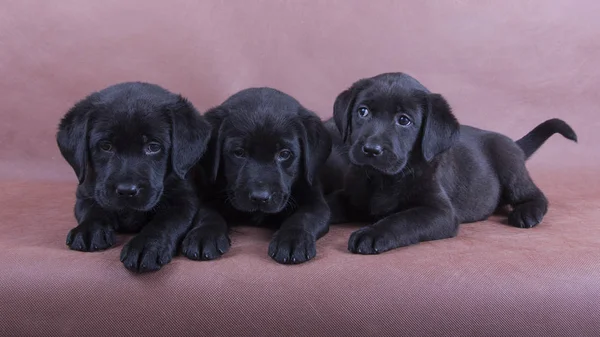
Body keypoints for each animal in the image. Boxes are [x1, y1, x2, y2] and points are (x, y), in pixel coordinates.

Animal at [56, 80, 211, 270]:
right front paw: (89, 230)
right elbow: (91, 209)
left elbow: (165, 222)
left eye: (153, 147)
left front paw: (147, 246)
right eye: (106, 146)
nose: (126, 191)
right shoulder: (85, 191)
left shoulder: (184, 199)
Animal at [182, 88, 332, 264]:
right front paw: (204, 235)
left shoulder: (316, 201)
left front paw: (293, 240)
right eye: (239, 152)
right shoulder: (209, 194)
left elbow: (304, 217)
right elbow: (207, 212)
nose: (260, 197)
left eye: (284, 154)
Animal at [326, 72, 580, 253]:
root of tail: (514, 143)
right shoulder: (352, 196)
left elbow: (401, 219)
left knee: (535, 194)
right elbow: (330, 202)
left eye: (404, 120)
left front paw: (372, 233)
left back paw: (527, 212)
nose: (371, 149)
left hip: (509, 166)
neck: (383, 180)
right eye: (363, 112)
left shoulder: (440, 212)